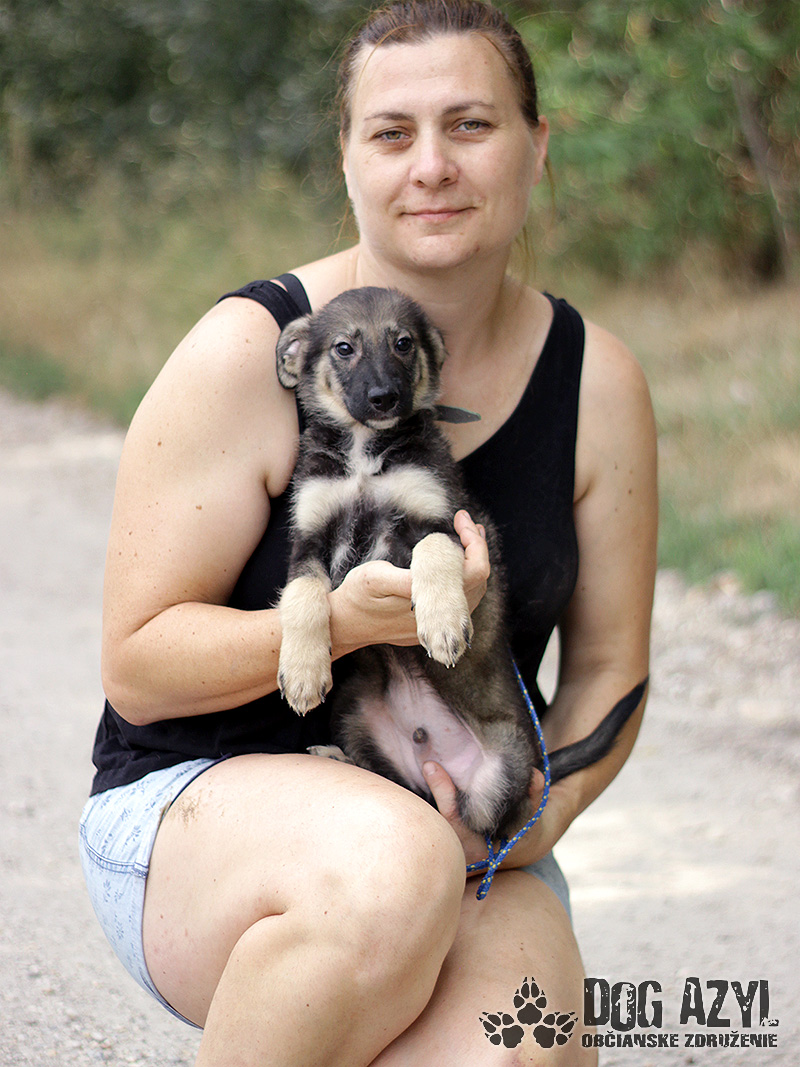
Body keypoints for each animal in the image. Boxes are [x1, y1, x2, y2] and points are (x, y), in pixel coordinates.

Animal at [275, 287, 643, 841]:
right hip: (355, 711)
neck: (365, 452)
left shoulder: (442, 518)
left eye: (403, 343)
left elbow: (433, 555)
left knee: (473, 818)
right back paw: (339, 757)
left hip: (502, 767)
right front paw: (301, 671)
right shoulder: (309, 538)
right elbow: (301, 597)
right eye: (344, 348)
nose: (384, 398)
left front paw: (444, 623)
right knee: (404, 786)